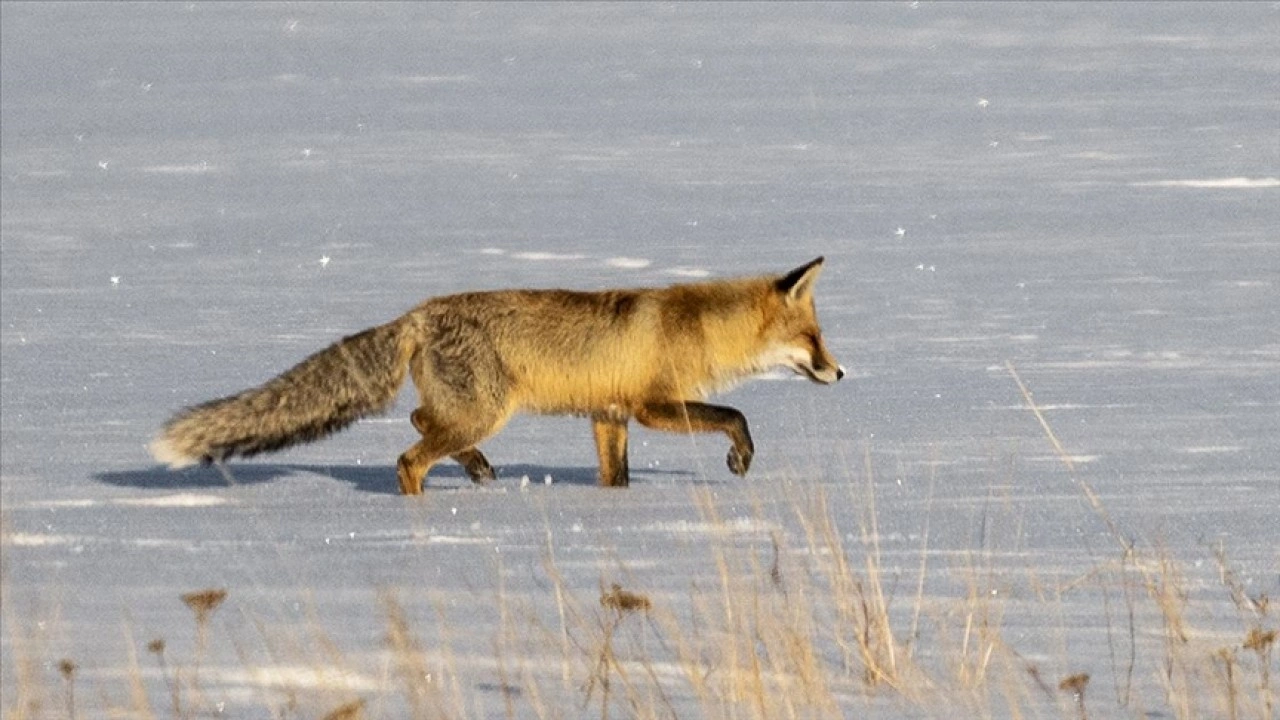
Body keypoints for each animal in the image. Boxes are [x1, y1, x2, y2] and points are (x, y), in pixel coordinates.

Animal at [149, 257, 844, 491]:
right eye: (812, 338)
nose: (839, 371)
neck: (698, 326)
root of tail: (418, 312)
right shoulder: (652, 405)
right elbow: (736, 415)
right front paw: (740, 459)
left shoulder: (610, 415)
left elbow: (615, 480)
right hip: (486, 409)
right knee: (409, 457)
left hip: (471, 409)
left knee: (419, 420)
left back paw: (477, 468)